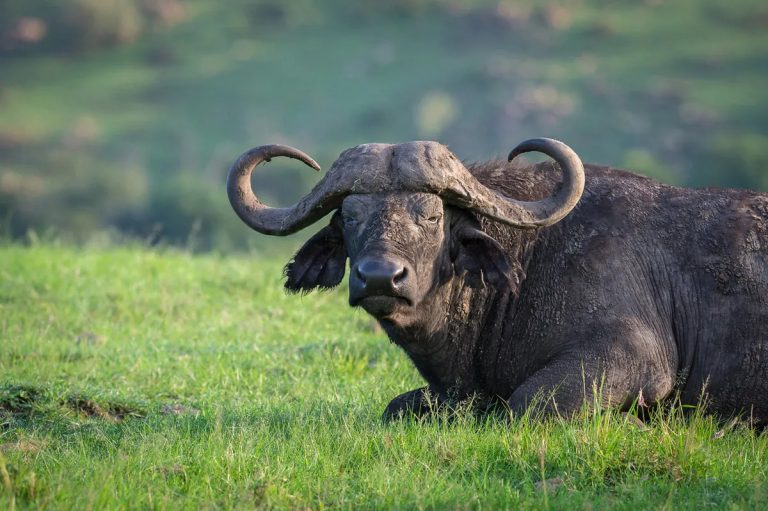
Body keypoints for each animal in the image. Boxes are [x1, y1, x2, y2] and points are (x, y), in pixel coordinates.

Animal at [225, 138, 768, 422]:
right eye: (350, 216)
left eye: (431, 215)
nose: (380, 277)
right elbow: (397, 406)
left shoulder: (631, 357)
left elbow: (525, 404)